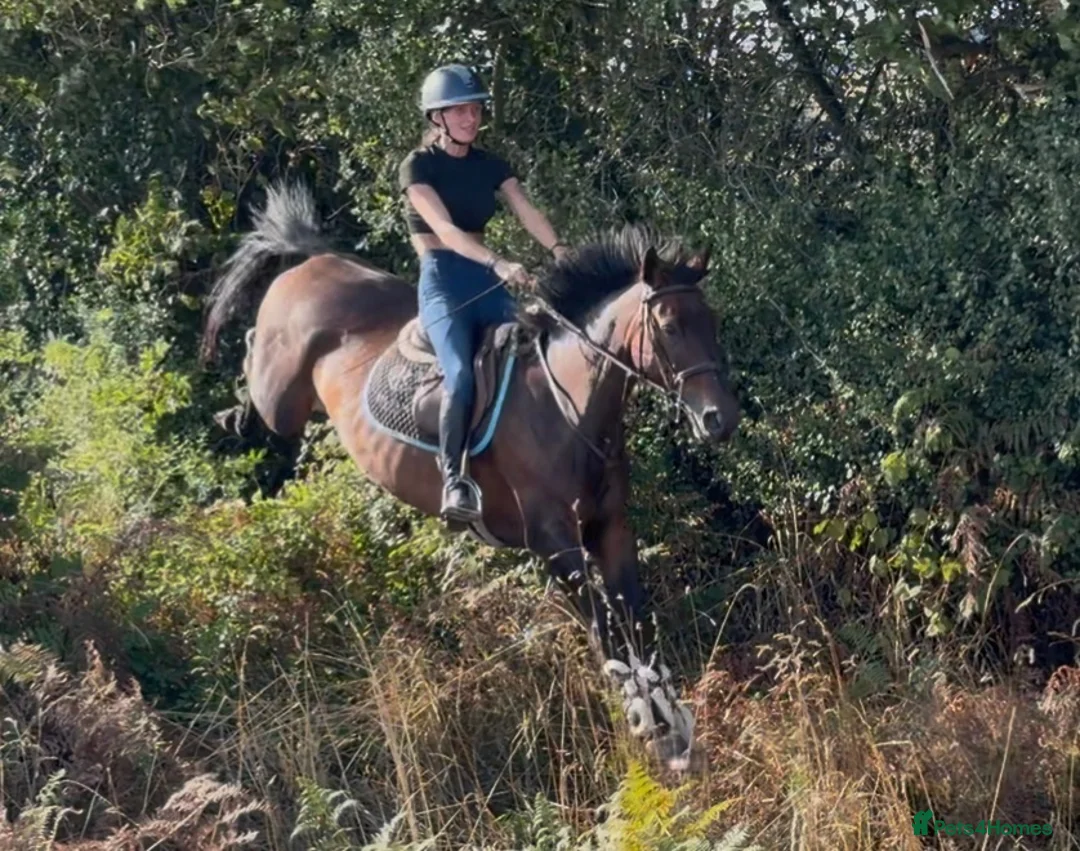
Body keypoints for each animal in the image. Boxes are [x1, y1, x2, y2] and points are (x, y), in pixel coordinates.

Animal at [200, 181, 741, 770]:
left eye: (714, 322)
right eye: (668, 327)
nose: (720, 420)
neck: (566, 406)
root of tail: (312, 261)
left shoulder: (610, 528)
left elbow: (638, 626)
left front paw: (673, 727)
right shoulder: (555, 543)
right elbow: (606, 635)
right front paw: (645, 725)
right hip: (280, 397)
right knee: (254, 361)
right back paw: (230, 410)